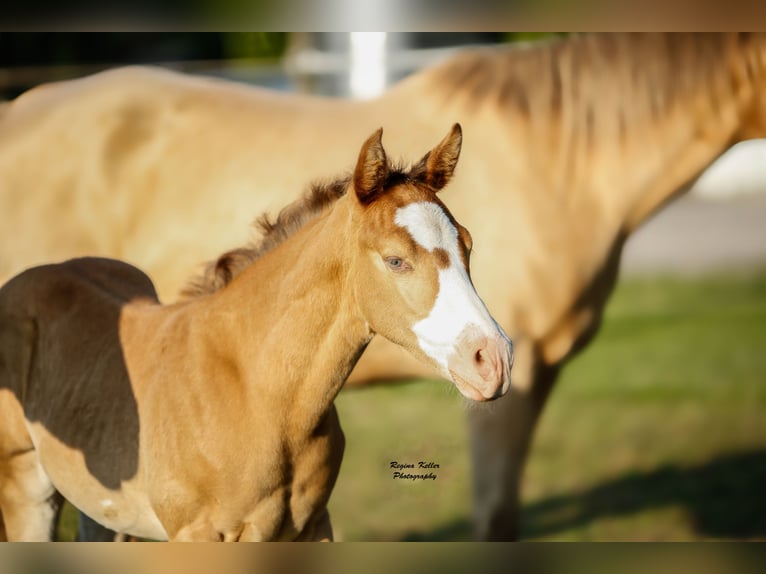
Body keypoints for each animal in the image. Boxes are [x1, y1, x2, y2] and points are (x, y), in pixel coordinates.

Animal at [0, 124, 516, 544]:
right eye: (395, 260)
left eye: (468, 244)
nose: (494, 360)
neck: (259, 395)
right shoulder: (198, 535)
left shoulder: (313, 527)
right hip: (25, 486)